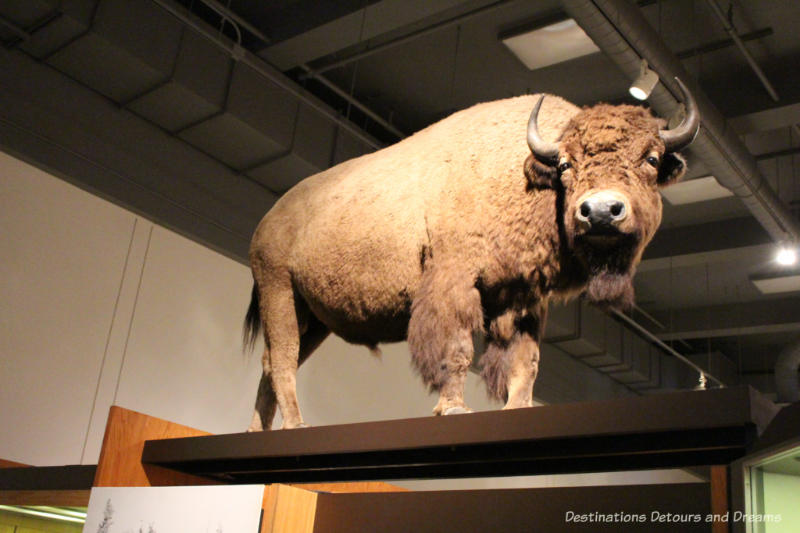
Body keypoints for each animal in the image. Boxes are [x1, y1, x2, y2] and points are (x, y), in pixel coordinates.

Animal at [244, 78, 700, 428]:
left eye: (652, 158)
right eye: (567, 164)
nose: (601, 211)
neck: (525, 173)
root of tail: (268, 218)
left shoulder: (523, 299)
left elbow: (526, 361)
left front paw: (519, 410)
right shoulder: (456, 281)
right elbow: (459, 349)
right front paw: (453, 410)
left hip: (314, 318)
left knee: (271, 365)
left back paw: (255, 432)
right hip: (279, 291)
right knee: (281, 360)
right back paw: (296, 426)